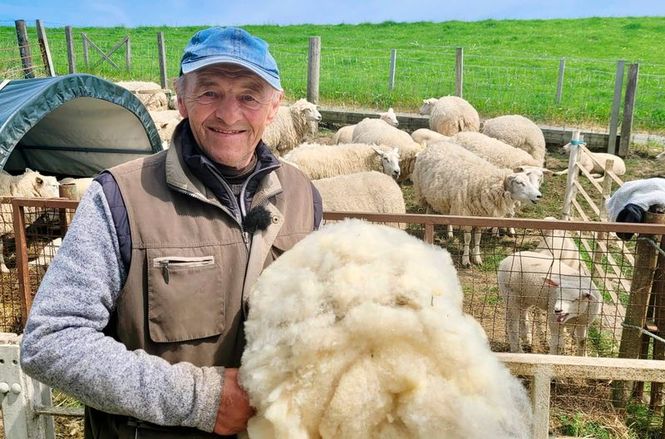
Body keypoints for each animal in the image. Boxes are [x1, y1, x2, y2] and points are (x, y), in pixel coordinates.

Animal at [412, 144, 544, 268]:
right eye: (519, 183)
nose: (539, 196)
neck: (485, 183)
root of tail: (436, 144)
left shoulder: (480, 216)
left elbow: (478, 238)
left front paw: (477, 258)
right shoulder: (466, 214)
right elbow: (468, 238)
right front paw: (466, 260)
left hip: (445, 200)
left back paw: (449, 233)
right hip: (425, 194)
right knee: (428, 212)